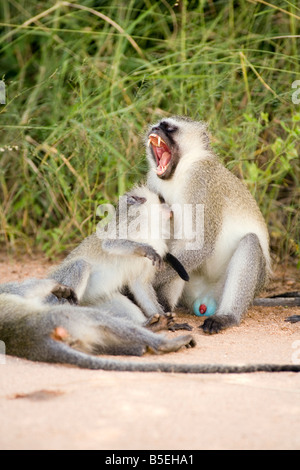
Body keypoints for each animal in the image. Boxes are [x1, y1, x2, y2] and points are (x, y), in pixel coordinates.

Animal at [0, 280, 298, 374]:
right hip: (70, 319)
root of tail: (33, 339)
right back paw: (162, 342)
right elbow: (26, 288)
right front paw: (58, 287)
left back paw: (147, 340)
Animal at [49, 185, 190, 332]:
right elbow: (109, 243)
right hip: (55, 288)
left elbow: (140, 284)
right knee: (80, 265)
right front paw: (145, 249)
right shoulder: (130, 224)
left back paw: (151, 326)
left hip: (94, 302)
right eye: (162, 199)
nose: (170, 208)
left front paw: (166, 321)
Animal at [146, 115, 274, 332]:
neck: (179, 171)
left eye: (169, 128)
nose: (154, 129)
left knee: (250, 242)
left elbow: (201, 244)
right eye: (156, 125)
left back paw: (226, 317)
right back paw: (165, 308)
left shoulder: (201, 181)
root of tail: (205, 298)